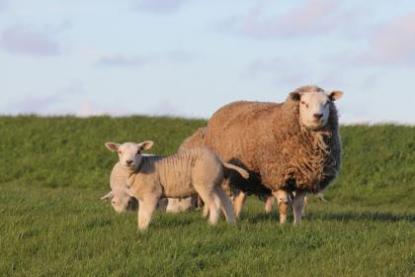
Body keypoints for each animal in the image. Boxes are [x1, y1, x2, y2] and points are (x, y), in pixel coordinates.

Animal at [104, 140, 250, 229]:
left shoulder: (152, 193)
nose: (129, 162)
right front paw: (140, 228)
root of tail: (219, 160)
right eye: (120, 152)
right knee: (226, 202)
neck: (142, 167)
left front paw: (143, 231)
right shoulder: (142, 197)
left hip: (204, 183)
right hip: (215, 183)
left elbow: (147, 213)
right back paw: (231, 224)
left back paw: (211, 225)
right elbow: (141, 214)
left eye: (139, 151)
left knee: (215, 204)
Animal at [205, 84, 344, 224]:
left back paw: (236, 216)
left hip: (245, 177)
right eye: (304, 103)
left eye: (327, 102)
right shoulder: (276, 175)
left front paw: (297, 224)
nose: (318, 115)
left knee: (240, 198)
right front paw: (282, 224)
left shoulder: (305, 178)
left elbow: (298, 205)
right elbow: (284, 204)